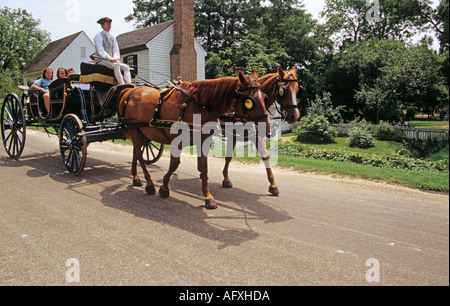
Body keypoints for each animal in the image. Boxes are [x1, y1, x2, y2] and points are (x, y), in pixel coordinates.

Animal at [118, 70, 268, 209]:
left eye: (264, 98)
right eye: (250, 102)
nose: (265, 128)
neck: (197, 106)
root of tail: (130, 91)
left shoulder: (203, 141)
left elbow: (204, 167)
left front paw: (207, 196)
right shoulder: (177, 141)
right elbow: (175, 164)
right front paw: (164, 187)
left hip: (141, 133)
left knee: (136, 153)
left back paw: (136, 177)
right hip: (135, 132)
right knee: (139, 155)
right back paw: (149, 184)